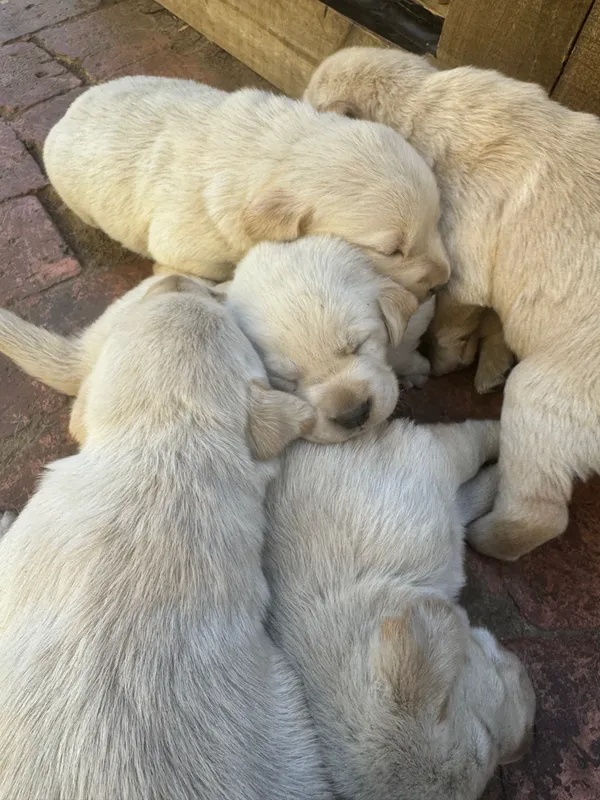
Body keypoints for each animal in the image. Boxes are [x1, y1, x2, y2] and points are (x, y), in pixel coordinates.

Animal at [44, 76, 450, 300]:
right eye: (391, 251)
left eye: (436, 222)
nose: (444, 282)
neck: (281, 153)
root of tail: (68, 111)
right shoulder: (183, 251)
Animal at [308, 50, 600, 560]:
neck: (422, 103)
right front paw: (487, 358)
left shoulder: (460, 254)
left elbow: (452, 316)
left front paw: (444, 364)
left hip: (557, 387)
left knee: (538, 502)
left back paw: (487, 537)